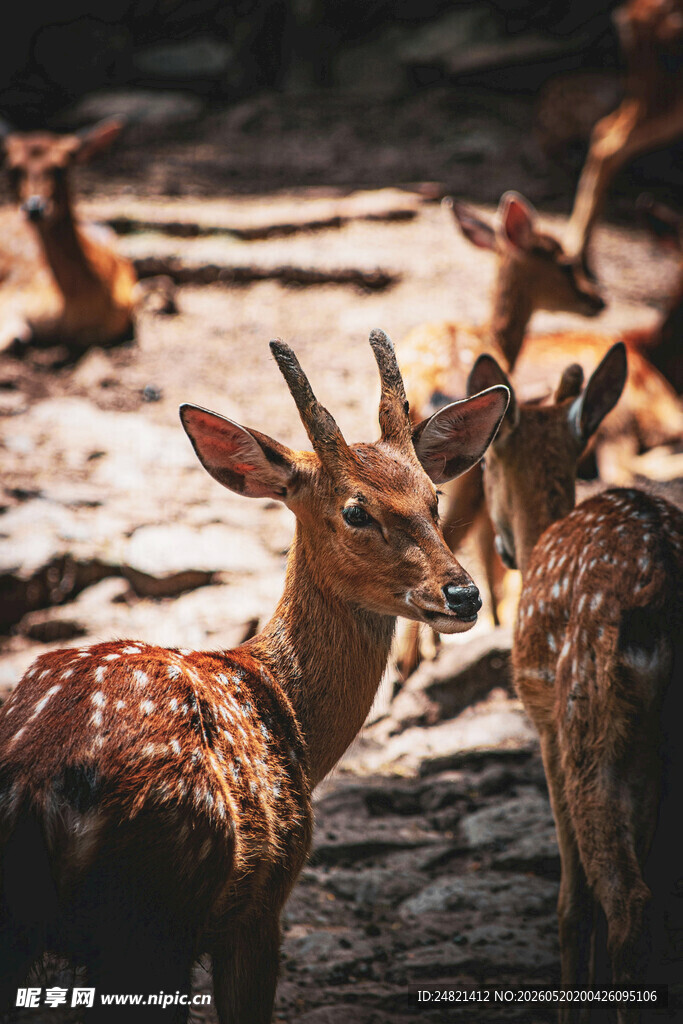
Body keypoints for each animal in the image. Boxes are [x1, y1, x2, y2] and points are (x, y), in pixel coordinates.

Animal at [0, 330, 509, 1022]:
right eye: (356, 512)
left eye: (434, 498)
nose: (462, 594)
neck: (290, 715)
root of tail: (39, 783)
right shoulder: (261, 906)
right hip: (155, 912)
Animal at [468, 342, 683, 1020]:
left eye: (486, 469)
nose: (505, 548)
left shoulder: (546, 727)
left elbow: (573, 902)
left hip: (588, 715)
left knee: (629, 902)